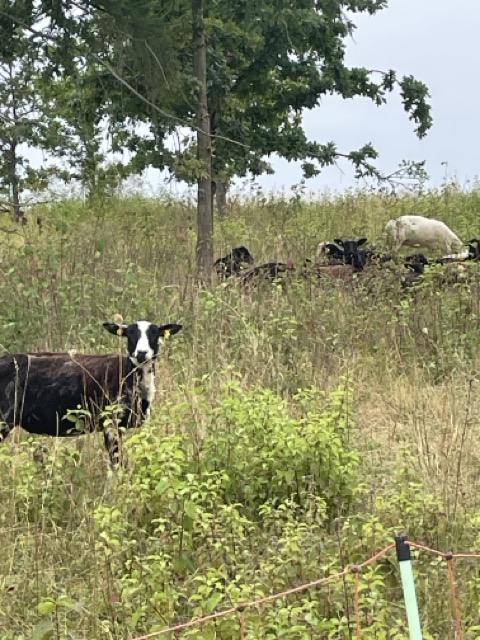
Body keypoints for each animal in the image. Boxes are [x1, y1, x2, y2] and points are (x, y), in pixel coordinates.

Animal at [0, 320, 182, 464]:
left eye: (155, 333)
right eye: (129, 334)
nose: (142, 353)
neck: (128, 372)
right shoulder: (110, 421)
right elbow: (116, 462)